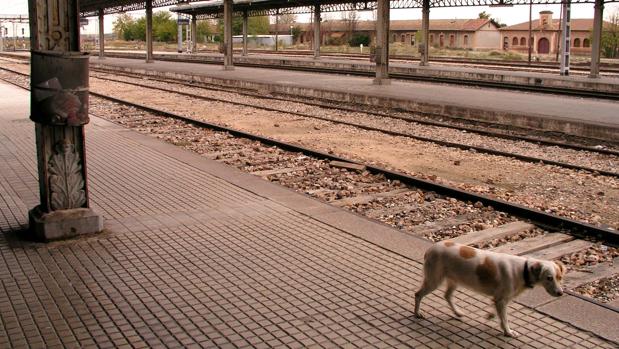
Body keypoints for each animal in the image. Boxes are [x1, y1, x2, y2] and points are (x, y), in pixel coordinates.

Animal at [416, 241, 568, 336]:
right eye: (549, 278)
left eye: (560, 277)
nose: (560, 293)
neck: (523, 270)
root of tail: (430, 249)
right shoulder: (501, 300)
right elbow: (505, 319)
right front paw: (508, 332)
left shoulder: (501, 299)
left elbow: (498, 313)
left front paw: (491, 315)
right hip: (434, 280)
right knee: (418, 295)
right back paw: (417, 313)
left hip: (454, 280)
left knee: (447, 296)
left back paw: (457, 312)